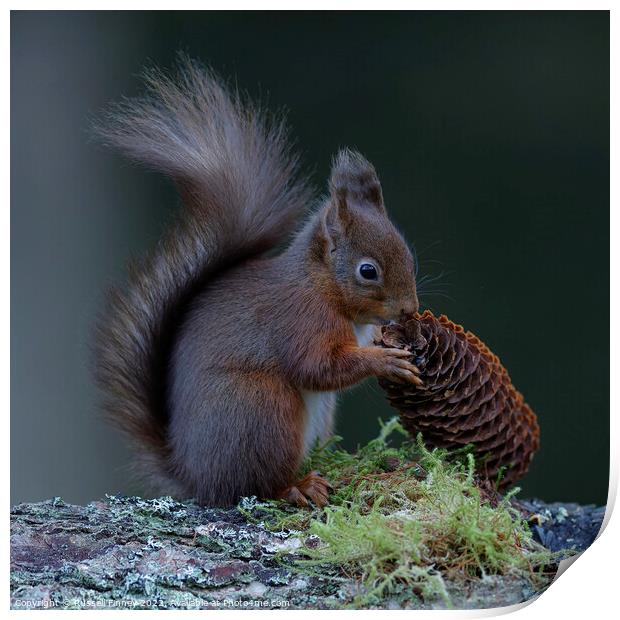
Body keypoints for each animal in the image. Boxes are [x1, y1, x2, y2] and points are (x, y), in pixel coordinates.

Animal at [93, 55, 422, 506]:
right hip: (262, 408)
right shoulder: (300, 319)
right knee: (257, 484)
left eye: (411, 256)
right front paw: (384, 361)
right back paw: (298, 486)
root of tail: (197, 477)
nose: (410, 310)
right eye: (367, 271)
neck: (321, 285)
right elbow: (318, 366)